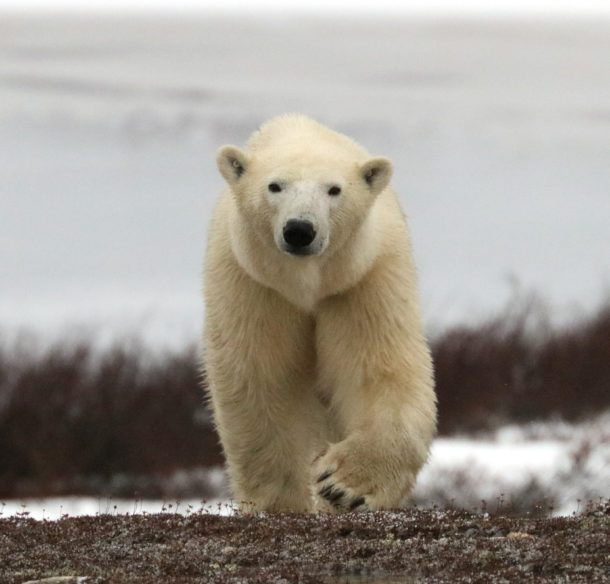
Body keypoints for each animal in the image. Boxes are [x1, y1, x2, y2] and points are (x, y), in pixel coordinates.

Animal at [203, 115, 432, 512]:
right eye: (275, 186)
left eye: (334, 190)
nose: (299, 229)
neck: (308, 285)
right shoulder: (256, 286)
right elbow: (262, 379)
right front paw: (281, 502)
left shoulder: (360, 281)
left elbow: (379, 370)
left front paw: (342, 485)